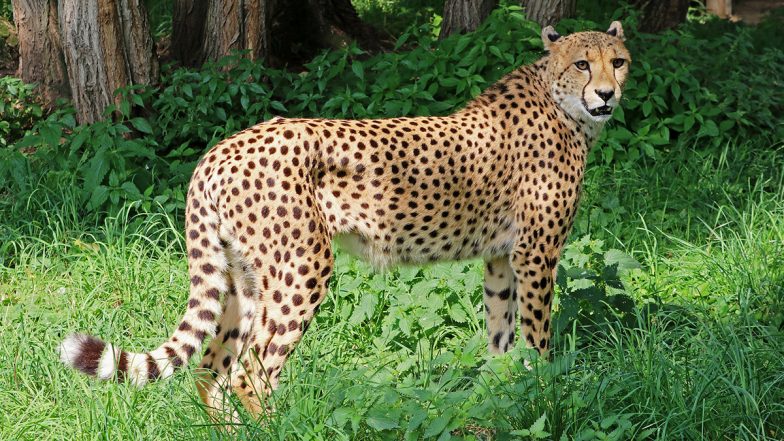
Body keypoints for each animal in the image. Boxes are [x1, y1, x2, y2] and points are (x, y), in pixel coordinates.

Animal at [59, 21, 631, 419]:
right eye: (583, 64)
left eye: (619, 61)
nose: (607, 94)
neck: (563, 106)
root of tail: (223, 147)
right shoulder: (536, 255)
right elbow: (538, 339)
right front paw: (545, 393)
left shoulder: (499, 258)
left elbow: (501, 335)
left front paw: (504, 393)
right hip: (302, 267)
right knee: (251, 373)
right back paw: (278, 428)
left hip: (245, 277)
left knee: (211, 368)